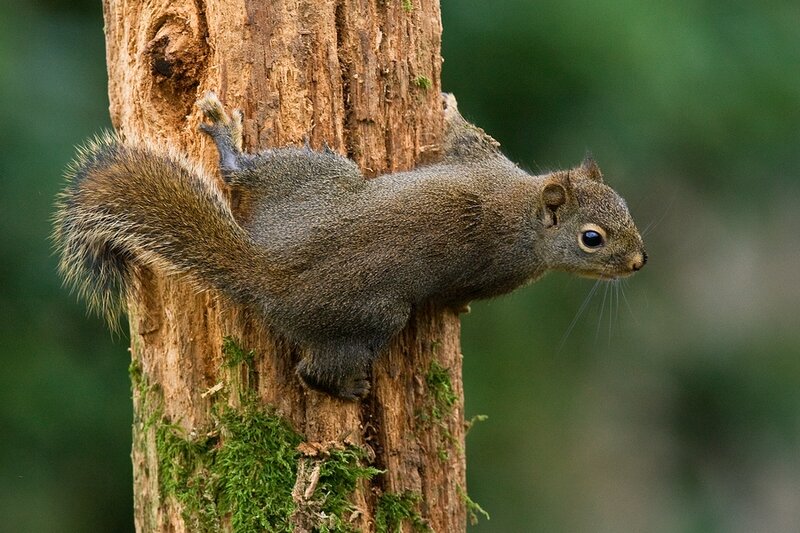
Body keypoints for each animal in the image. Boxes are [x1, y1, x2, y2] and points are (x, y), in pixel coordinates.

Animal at [53, 92, 646, 400]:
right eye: (592, 239)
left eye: (626, 206)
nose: (641, 261)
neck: (525, 211)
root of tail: (267, 270)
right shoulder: (492, 220)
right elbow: (466, 136)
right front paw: (449, 107)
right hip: (371, 312)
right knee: (311, 372)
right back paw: (347, 387)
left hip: (311, 183)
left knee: (240, 175)